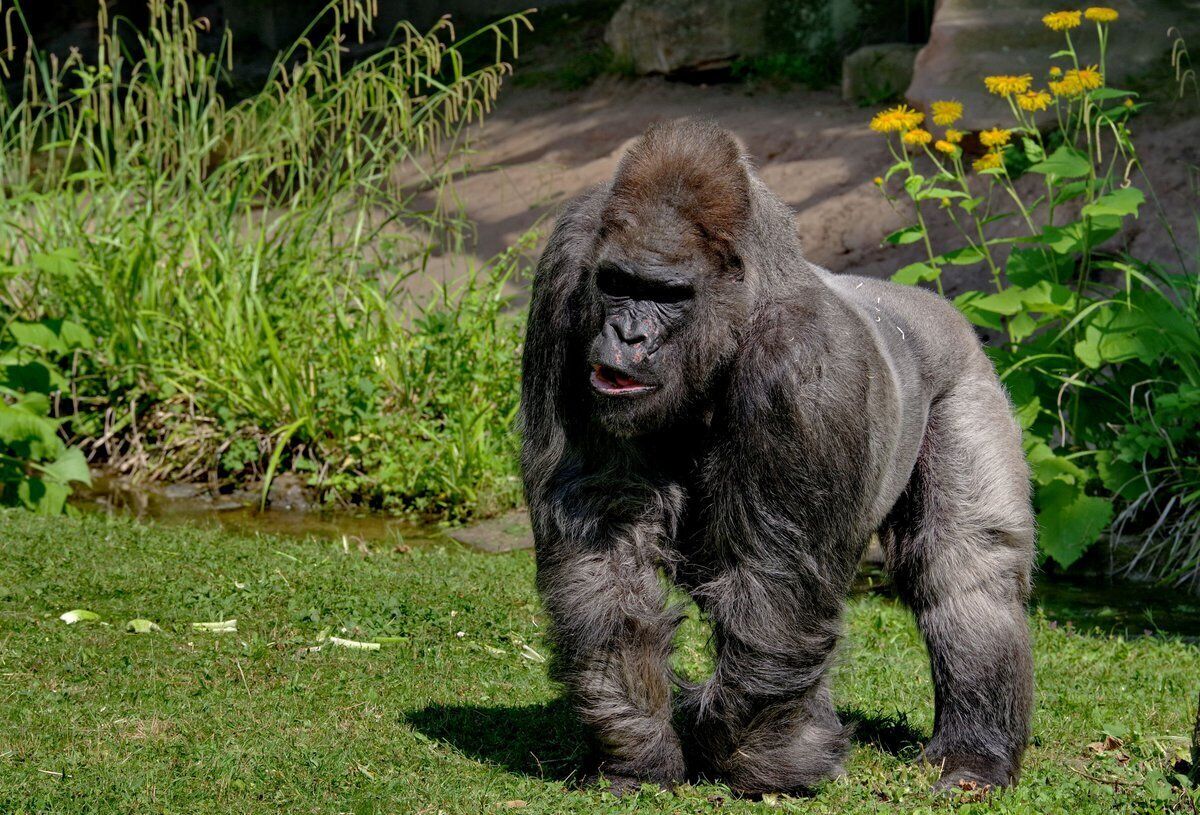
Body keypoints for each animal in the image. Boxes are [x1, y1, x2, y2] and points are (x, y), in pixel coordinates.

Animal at [518, 119, 1034, 796]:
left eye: (668, 295)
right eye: (618, 284)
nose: (628, 337)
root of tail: (932, 304)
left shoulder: (806, 364)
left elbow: (776, 590)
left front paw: (769, 757)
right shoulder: (566, 269)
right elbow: (602, 541)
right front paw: (637, 749)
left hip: (967, 376)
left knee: (967, 568)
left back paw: (976, 751)